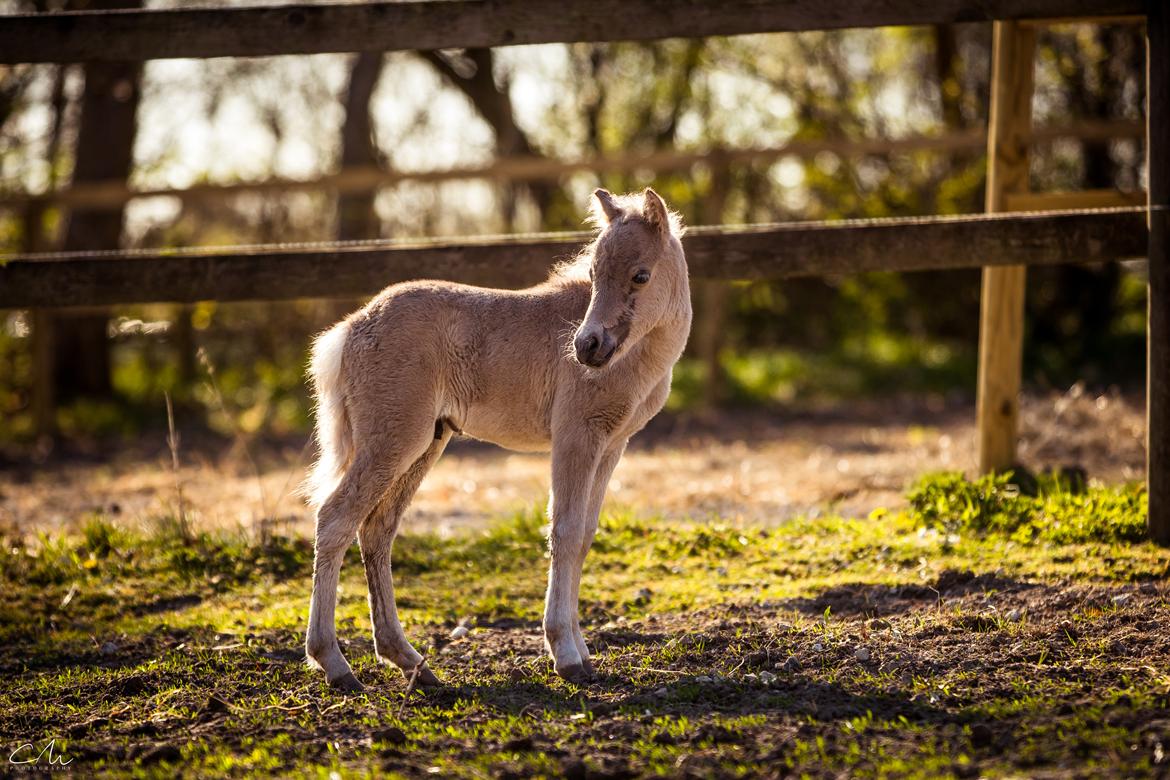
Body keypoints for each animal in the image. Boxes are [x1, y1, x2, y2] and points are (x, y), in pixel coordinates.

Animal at [304, 187, 692, 687]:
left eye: (640, 275)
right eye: (592, 273)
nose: (586, 346)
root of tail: (349, 329)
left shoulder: (612, 444)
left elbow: (585, 534)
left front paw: (583, 653)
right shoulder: (576, 436)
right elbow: (564, 531)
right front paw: (565, 655)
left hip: (425, 443)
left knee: (376, 531)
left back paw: (410, 662)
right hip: (392, 440)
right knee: (335, 520)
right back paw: (335, 664)